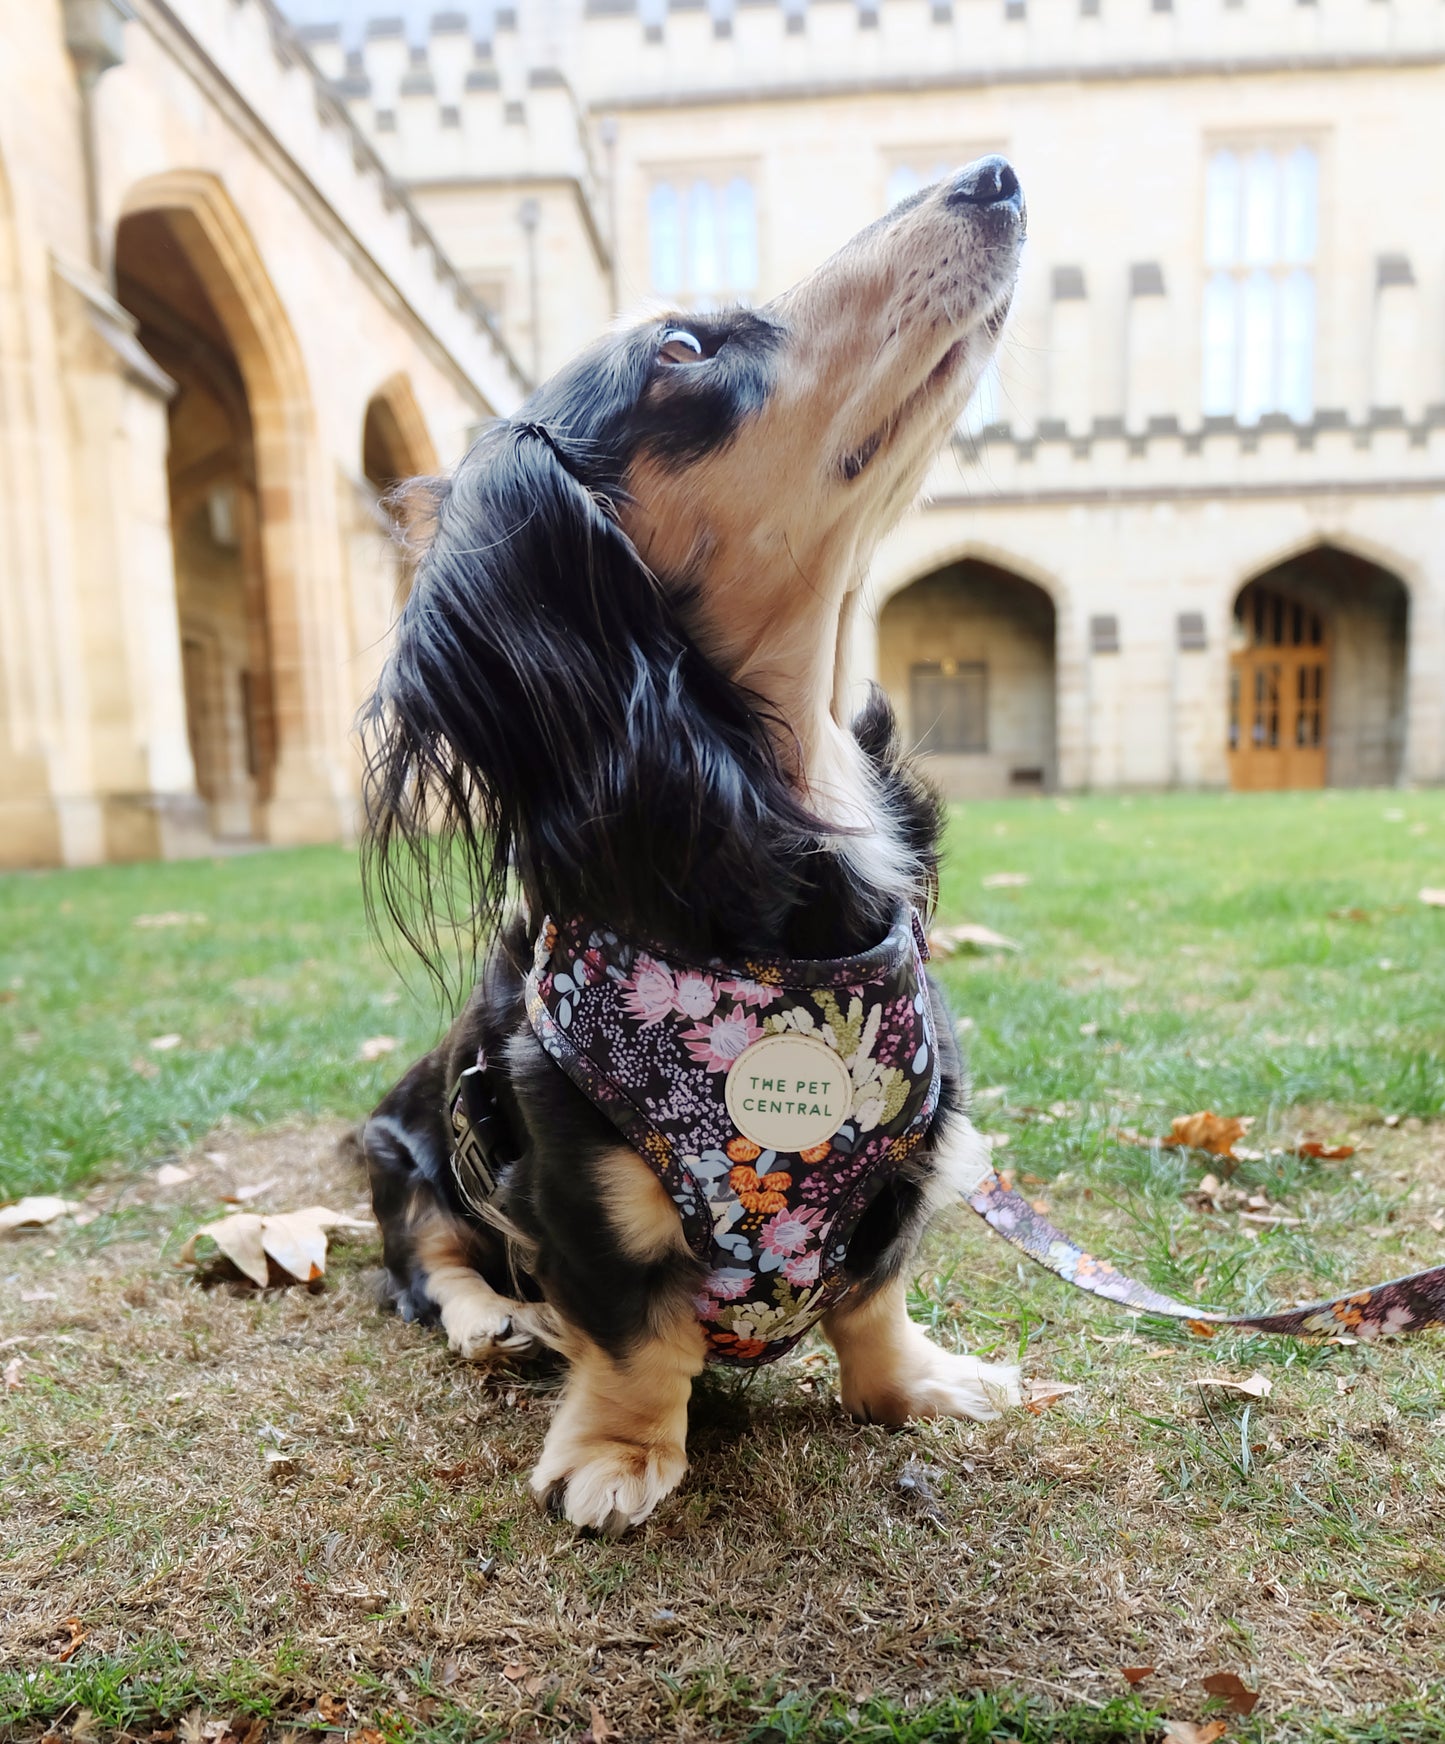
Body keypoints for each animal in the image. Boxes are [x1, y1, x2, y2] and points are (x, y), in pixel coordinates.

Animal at [359, 156, 1024, 1534]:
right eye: (679, 350)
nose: (991, 176)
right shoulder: (581, 1194)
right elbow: (634, 1333)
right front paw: (617, 1452)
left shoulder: (911, 1155)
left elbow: (874, 1299)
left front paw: (920, 1382)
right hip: (401, 1151)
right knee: (428, 1262)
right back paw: (493, 1317)